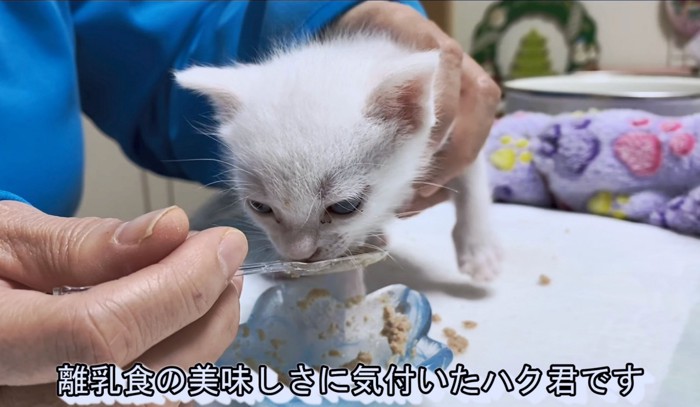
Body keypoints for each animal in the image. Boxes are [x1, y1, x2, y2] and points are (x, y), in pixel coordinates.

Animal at [178, 31, 500, 284]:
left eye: (345, 206)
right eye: (260, 207)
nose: (297, 255)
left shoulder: (452, 131)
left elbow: (472, 178)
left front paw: (479, 250)